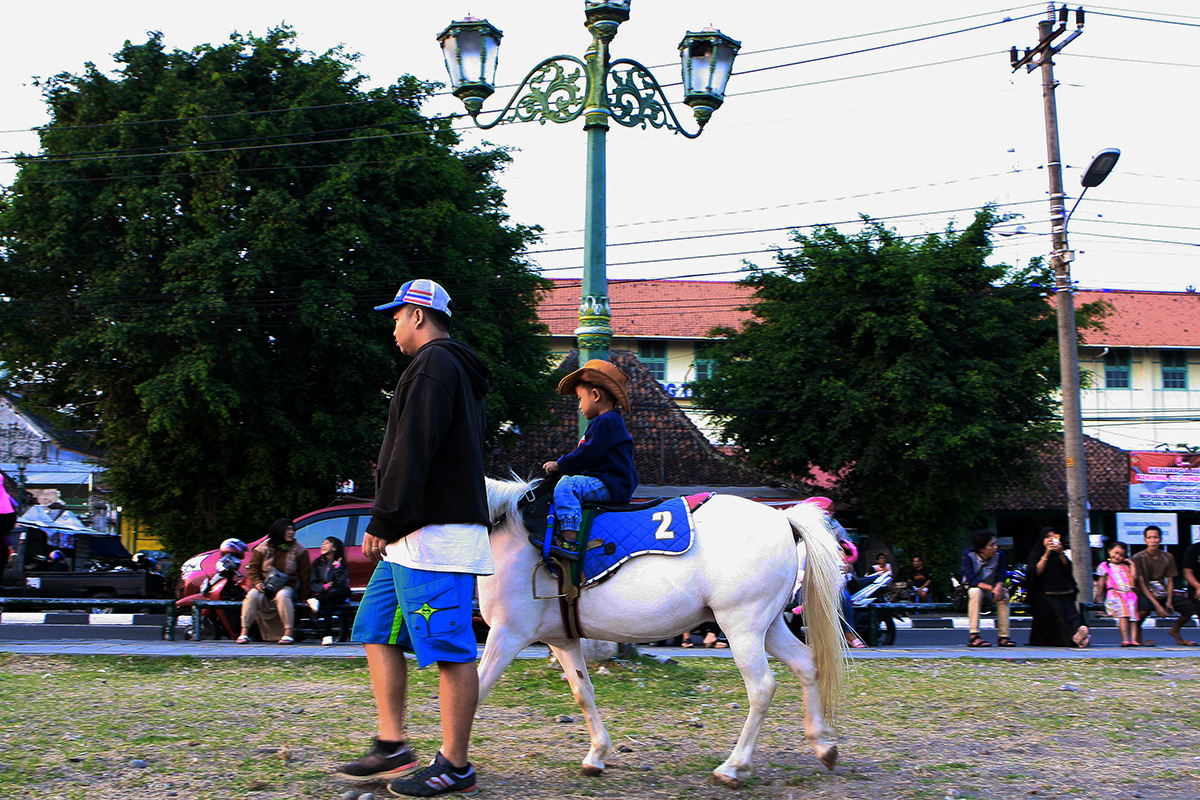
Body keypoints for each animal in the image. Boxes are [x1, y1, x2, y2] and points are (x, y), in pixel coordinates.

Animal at [472, 474, 849, 786]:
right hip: (767, 627)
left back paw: (734, 767)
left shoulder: (507, 634)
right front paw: (597, 755)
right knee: (806, 664)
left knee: (762, 688)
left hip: (742, 629)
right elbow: (583, 691)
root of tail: (783, 518)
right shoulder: (561, 639)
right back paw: (823, 746)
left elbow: (476, 689)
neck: (509, 532)